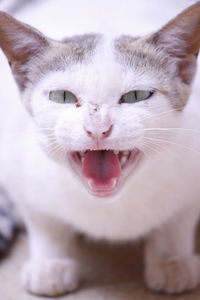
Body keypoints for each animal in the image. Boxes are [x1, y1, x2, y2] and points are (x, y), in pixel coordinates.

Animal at [0, 0, 199, 296]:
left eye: (136, 96)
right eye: (62, 96)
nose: (97, 128)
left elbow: (178, 220)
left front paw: (171, 261)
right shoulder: (16, 168)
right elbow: (43, 222)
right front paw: (51, 263)